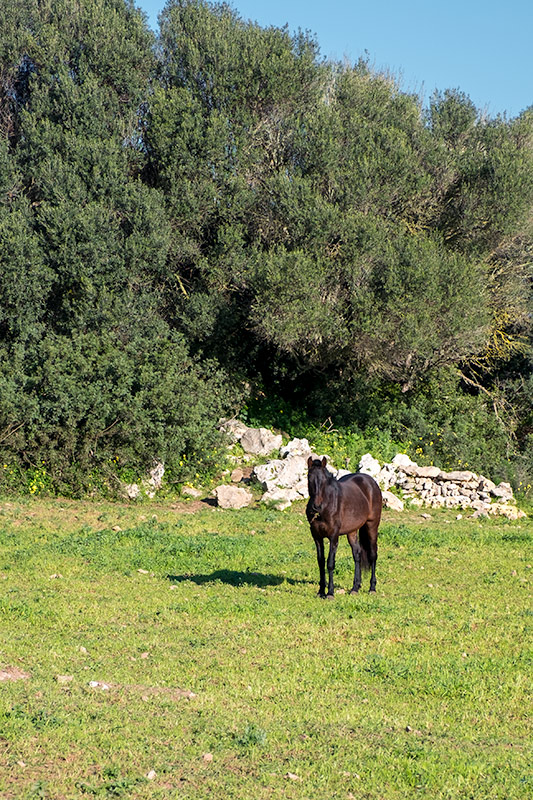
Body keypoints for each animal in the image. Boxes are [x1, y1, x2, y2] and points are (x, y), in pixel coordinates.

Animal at [306, 460, 380, 596]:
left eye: (324, 480)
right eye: (309, 477)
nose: (316, 506)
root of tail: (371, 482)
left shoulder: (333, 536)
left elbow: (330, 563)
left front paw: (330, 593)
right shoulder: (317, 537)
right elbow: (321, 562)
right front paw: (321, 591)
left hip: (372, 525)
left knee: (373, 555)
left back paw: (372, 588)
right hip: (352, 532)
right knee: (357, 555)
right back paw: (355, 588)